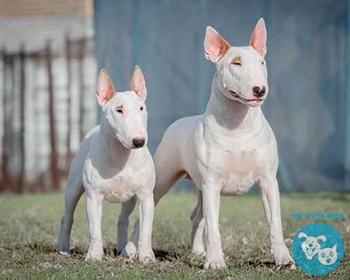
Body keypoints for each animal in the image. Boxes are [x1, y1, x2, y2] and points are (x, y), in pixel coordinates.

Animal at [56, 66, 155, 264]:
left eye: (141, 108)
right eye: (119, 110)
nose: (139, 141)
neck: (121, 155)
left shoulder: (146, 196)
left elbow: (145, 228)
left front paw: (146, 256)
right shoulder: (94, 196)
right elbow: (94, 230)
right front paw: (94, 256)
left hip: (130, 199)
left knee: (123, 219)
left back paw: (124, 248)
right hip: (73, 187)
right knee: (68, 216)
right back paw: (63, 248)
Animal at [153, 18, 292, 268]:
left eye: (262, 62)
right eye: (236, 63)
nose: (260, 90)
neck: (239, 125)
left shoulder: (268, 181)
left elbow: (275, 222)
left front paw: (283, 258)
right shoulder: (212, 184)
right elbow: (214, 227)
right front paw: (216, 262)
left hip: (199, 187)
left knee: (197, 217)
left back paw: (197, 252)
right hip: (163, 178)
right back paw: (134, 249)